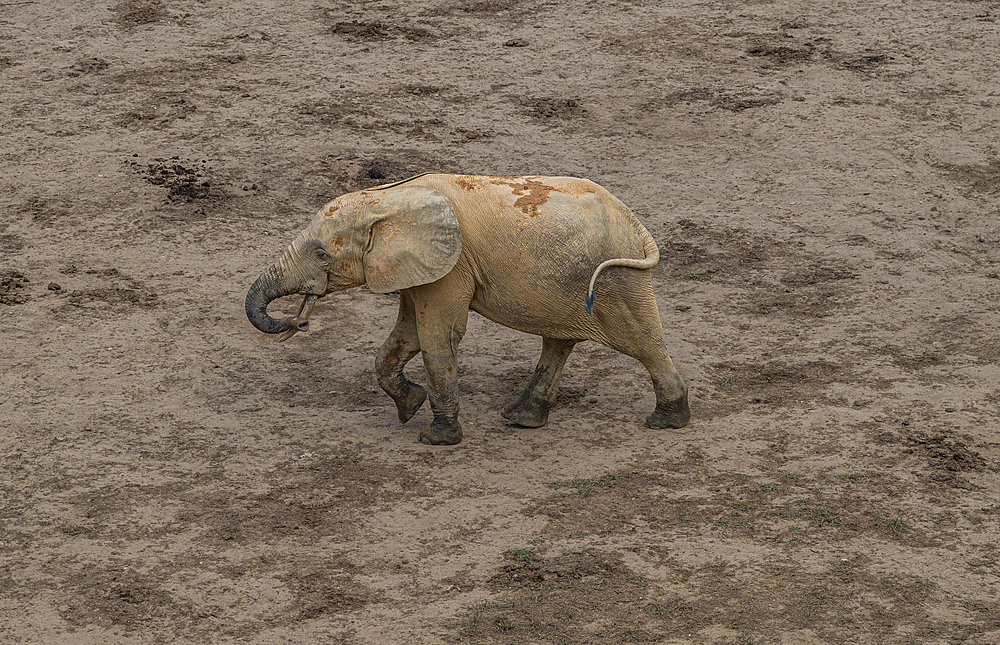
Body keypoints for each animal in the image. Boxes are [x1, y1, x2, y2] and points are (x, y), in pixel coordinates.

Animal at [246, 171, 692, 446]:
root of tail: (637, 225)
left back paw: (667, 421)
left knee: (641, 341)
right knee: (559, 340)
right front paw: (410, 407)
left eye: (322, 255)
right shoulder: (421, 265)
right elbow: (407, 335)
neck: (386, 198)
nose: (297, 322)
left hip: (620, 279)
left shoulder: (452, 264)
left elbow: (437, 335)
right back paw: (520, 418)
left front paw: (435, 439)